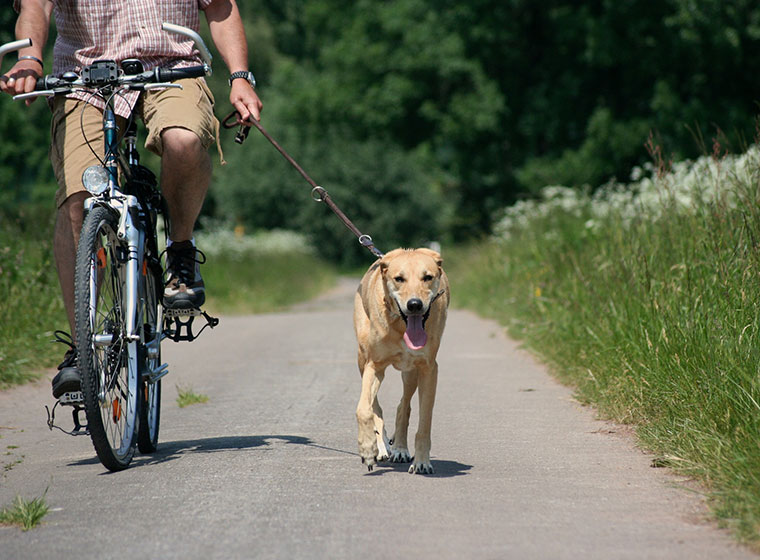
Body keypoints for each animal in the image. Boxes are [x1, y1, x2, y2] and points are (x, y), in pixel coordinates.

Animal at [354, 248, 448, 472]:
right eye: (399, 279)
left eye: (427, 277)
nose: (414, 305)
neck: (400, 326)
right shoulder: (373, 366)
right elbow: (363, 409)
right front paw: (367, 447)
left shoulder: (428, 369)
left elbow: (424, 421)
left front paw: (422, 461)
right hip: (362, 358)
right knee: (376, 407)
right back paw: (381, 447)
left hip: (410, 373)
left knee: (403, 406)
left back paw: (400, 449)